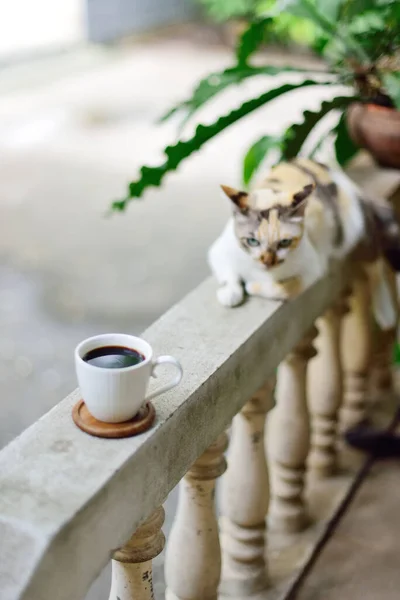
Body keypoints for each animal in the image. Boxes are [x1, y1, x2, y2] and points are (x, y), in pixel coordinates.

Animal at [208, 157, 400, 330]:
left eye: (284, 242)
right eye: (252, 241)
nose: (267, 261)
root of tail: (346, 181)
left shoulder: (312, 268)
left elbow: (286, 289)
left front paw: (251, 286)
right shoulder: (220, 248)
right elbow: (226, 271)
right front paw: (230, 293)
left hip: (356, 229)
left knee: (375, 266)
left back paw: (385, 312)